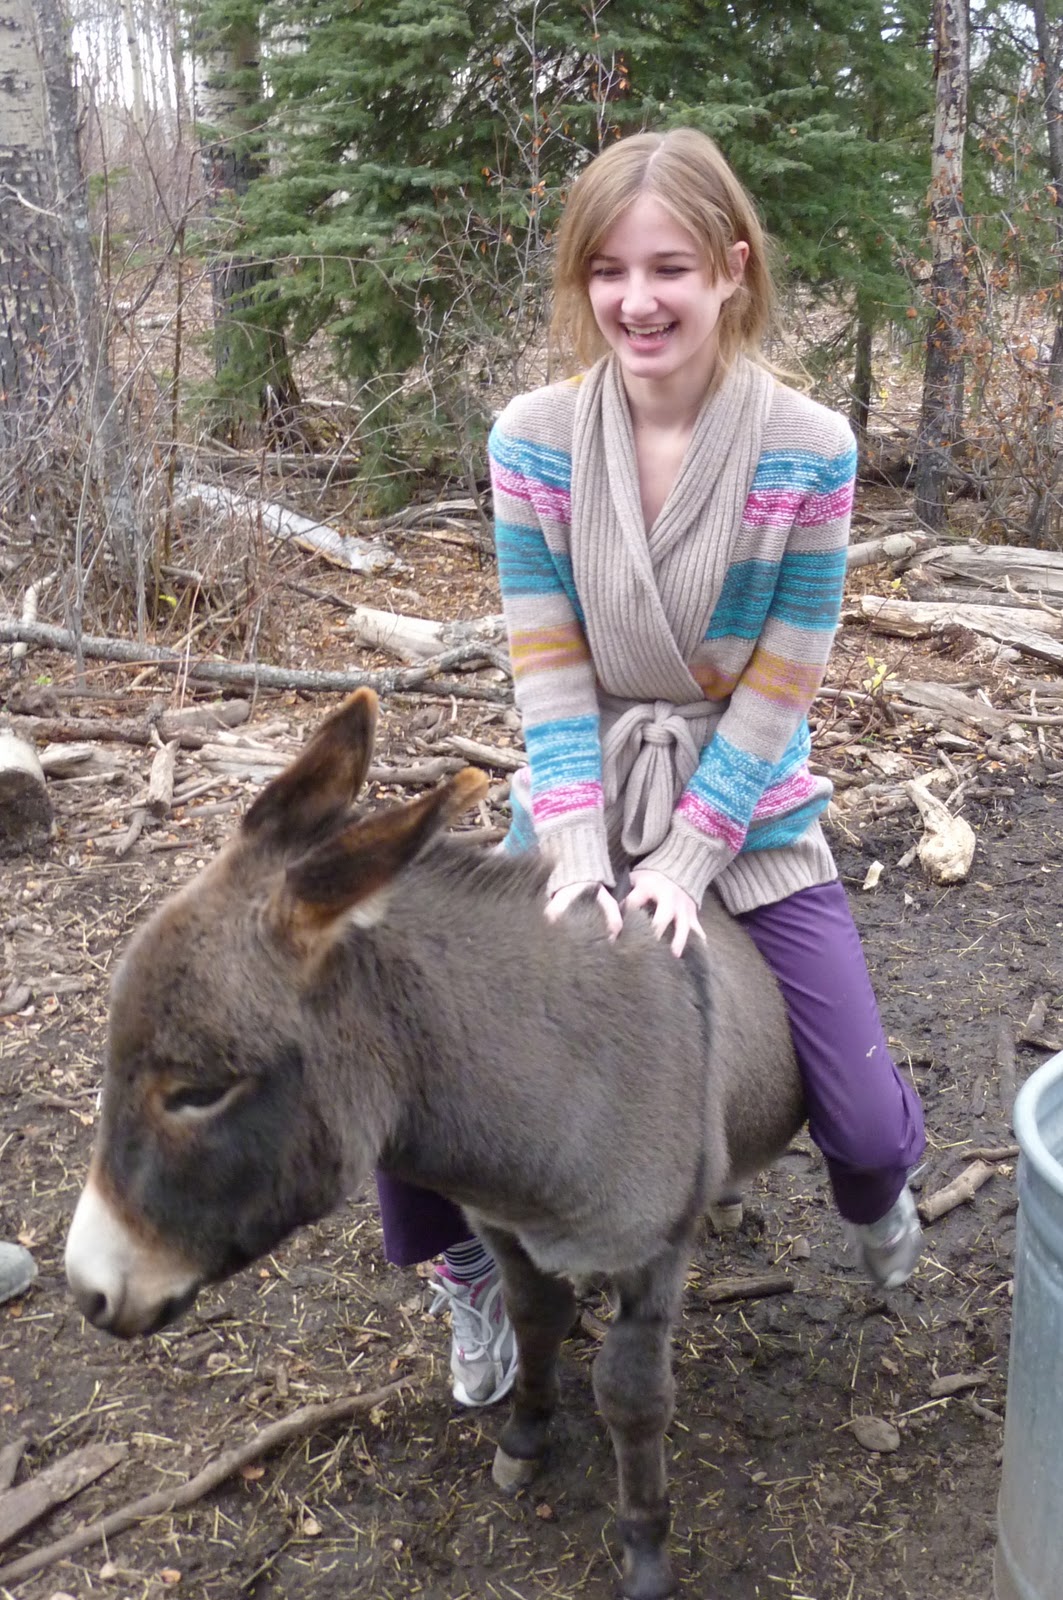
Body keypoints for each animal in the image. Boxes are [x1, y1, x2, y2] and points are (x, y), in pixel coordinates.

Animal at [65, 688, 804, 1599]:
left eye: (198, 1092)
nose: (87, 1288)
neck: (562, 1073)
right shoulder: (504, 1227)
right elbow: (536, 1320)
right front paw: (525, 1436)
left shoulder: (652, 1254)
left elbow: (632, 1396)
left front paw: (645, 1553)